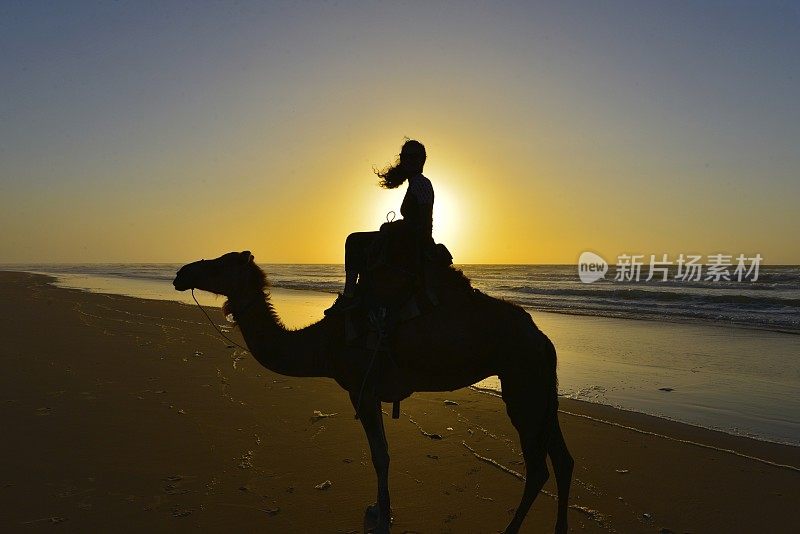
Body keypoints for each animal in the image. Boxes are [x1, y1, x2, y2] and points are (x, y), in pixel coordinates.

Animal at [175, 252, 576, 534]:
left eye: (218, 264)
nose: (181, 274)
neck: (324, 344)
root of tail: (543, 339)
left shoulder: (362, 389)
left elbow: (380, 455)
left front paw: (382, 516)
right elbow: (380, 453)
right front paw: (379, 509)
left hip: (523, 382)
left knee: (539, 467)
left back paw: (509, 529)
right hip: (540, 387)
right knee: (563, 458)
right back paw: (559, 529)